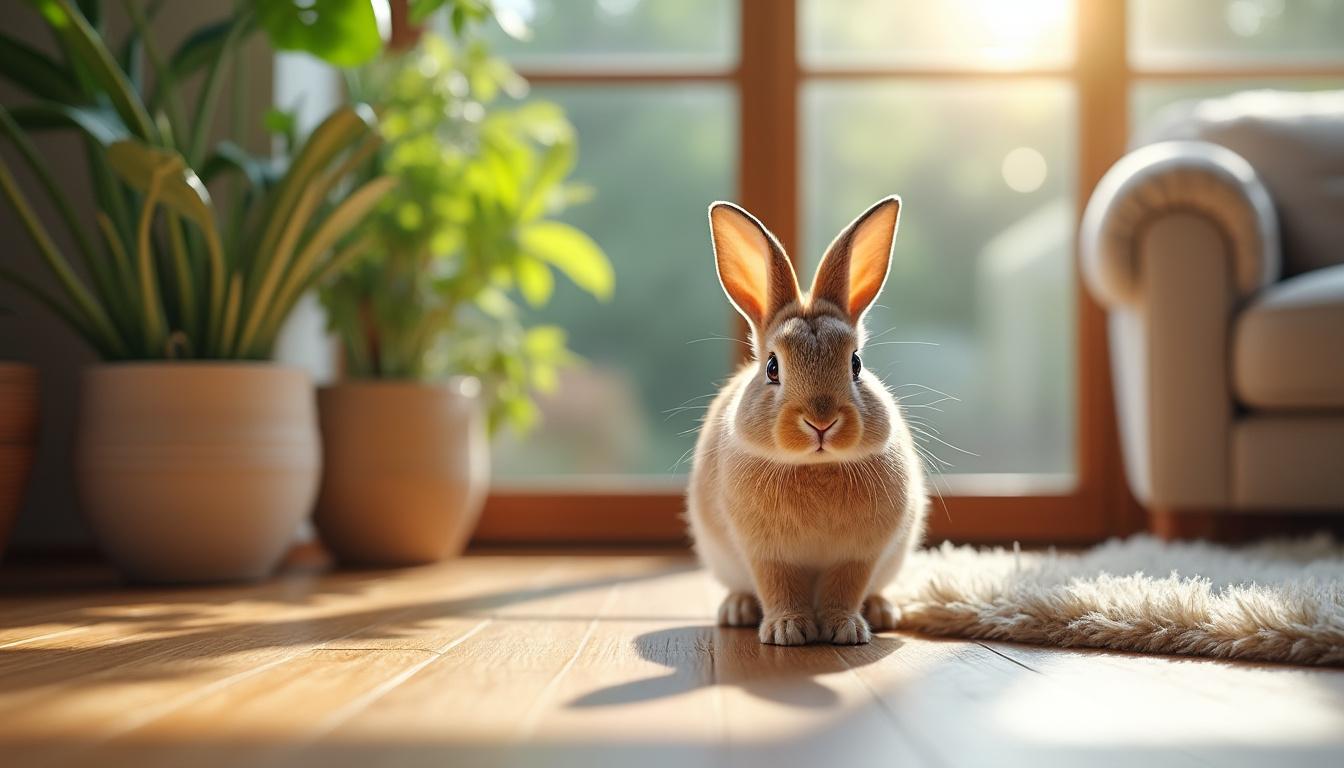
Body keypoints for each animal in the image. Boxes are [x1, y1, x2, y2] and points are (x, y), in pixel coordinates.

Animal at [686, 196, 928, 646]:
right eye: (772, 367)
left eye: (856, 363)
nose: (821, 421)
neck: (816, 467)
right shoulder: (767, 553)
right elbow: (778, 585)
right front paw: (788, 630)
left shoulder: (859, 554)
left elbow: (845, 587)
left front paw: (845, 629)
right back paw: (738, 610)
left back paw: (882, 611)